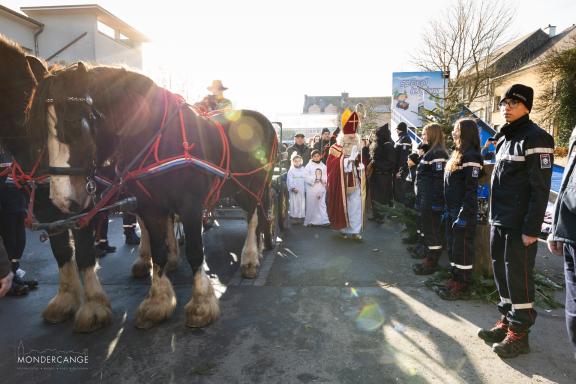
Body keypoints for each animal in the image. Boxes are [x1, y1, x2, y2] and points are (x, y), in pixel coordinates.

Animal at [28, 63, 276, 330]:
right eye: (39, 130)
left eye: (73, 122)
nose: (61, 199)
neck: (159, 137)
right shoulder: (150, 207)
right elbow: (158, 250)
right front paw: (158, 302)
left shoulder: (190, 205)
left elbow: (195, 251)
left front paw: (201, 303)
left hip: (254, 185)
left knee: (254, 218)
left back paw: (250, 258)